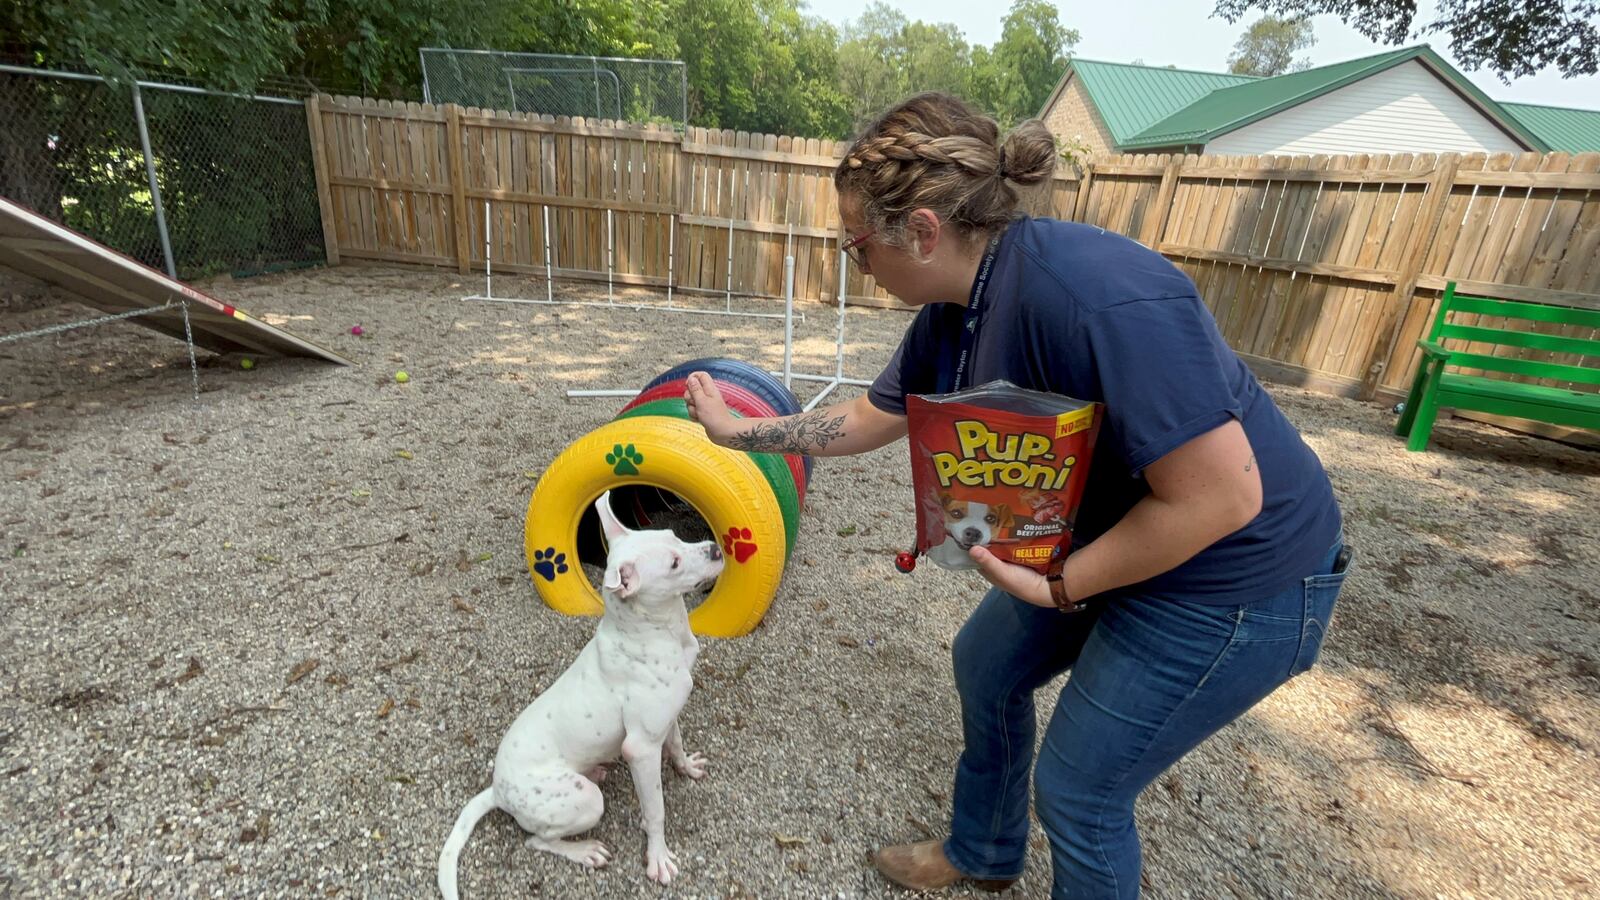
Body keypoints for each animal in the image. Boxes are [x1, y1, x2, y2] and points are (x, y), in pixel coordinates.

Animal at [432, 490, 720, 896]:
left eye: (674, 537)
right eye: (675, 563)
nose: (715, 549)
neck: (656, 632)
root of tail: (497, 790)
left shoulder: (665, 720)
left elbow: (677, 745)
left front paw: (687, 768)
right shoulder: (641, 748)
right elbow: (656, 810)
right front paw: (658, 857)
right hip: (586, 802)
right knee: (535, 840)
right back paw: (585, 851)